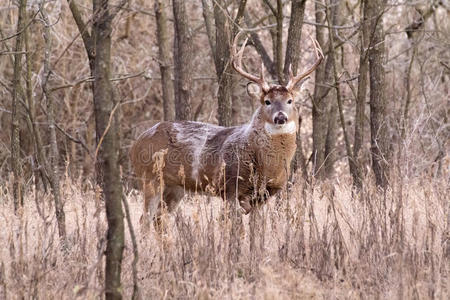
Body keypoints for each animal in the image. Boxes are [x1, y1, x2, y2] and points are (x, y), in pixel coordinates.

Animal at [130, 32, 324, 225]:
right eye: (267, 101)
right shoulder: (230, 186)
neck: (268, 166)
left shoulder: (265, 194)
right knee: (144, 220)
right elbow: (234, 225)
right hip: (150, 177)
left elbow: (255, 225)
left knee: (159, 219)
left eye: (290, 100)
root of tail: (137, 142)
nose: (281, 117)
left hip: (176, 187)